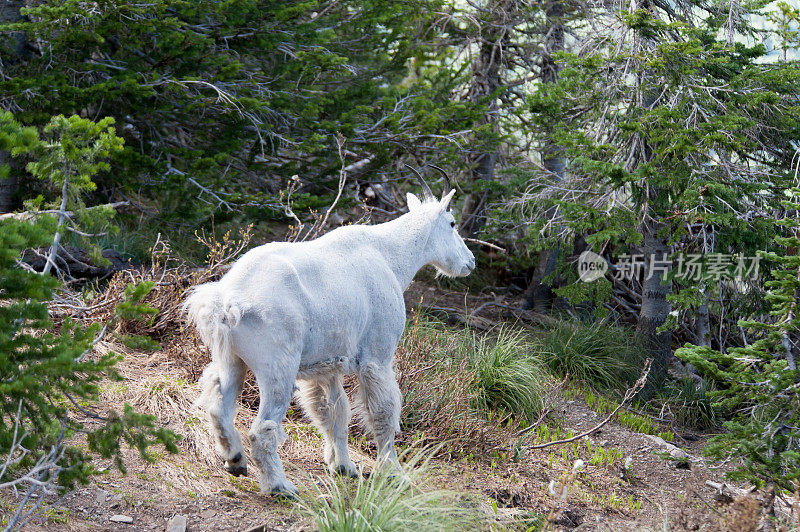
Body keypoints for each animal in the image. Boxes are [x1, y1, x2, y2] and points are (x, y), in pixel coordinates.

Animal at [183, 167, 476, 498]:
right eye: (452, 223)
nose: (470, 262)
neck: (388, 255)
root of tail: (225, 302)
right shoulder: (378, 355)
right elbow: (383, 412)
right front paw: (393, 472)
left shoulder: (326, 366)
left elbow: (334, 412)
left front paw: (344, 466)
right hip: (278, 367)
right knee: (263, 429)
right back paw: (280, 485)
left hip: (231, 359)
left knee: (218, 403)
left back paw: (235, 460)